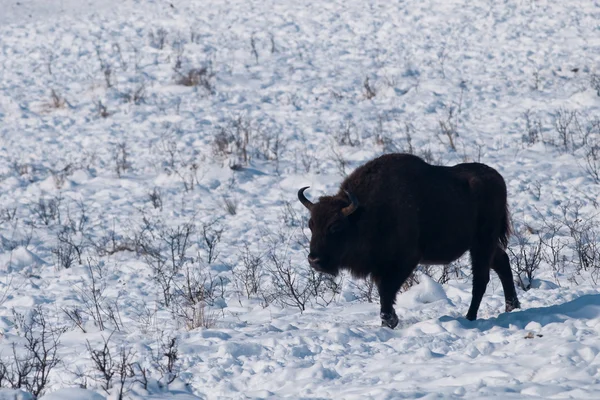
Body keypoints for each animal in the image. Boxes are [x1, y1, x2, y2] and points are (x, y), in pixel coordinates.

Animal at [298, 153, 520, 328]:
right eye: (311, 225)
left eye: (335, 227)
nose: (314, 260)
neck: (364, 213)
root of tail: (498, 179)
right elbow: (384, 291)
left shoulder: (404, 261)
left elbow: (386, 291)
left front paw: (390, 321)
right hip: (484, 245)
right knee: (502, 262)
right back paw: (512, 307)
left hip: (482, 243)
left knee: (481, 278)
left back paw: (470, 317)